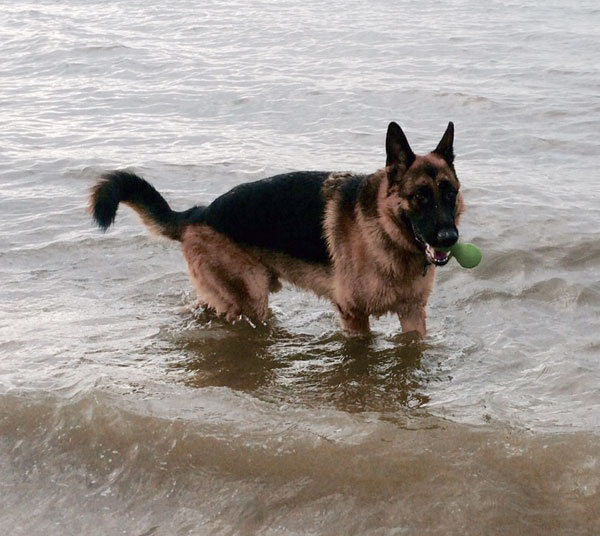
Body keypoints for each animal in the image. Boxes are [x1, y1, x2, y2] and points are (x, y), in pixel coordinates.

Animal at [90, 123, 464, 338]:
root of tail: (201, 212)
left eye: (450, 193)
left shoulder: (412, 315)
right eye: (420, 197)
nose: (449, 238)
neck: (385, 232)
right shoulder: (354, 318)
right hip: (250, 301)